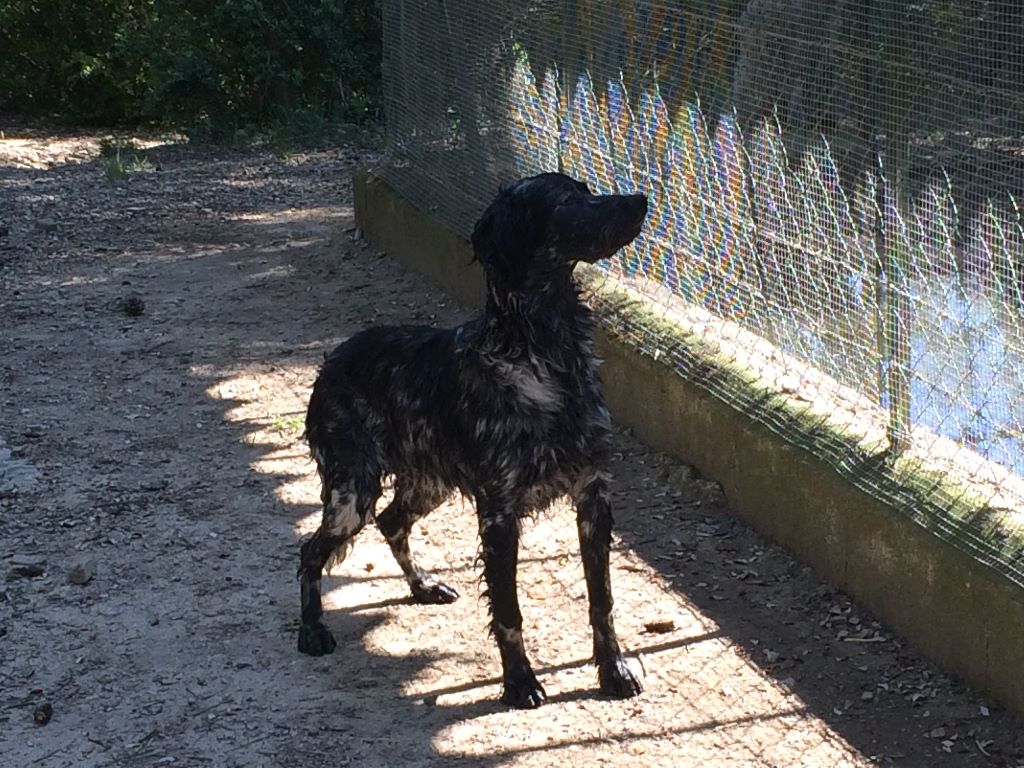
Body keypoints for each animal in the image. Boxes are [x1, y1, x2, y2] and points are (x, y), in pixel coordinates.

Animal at [299, 173, 647, 708]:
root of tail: (330, 362)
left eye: (587, 189)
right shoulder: (499, 513)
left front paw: (614, 670)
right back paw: (312, 630)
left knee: (391, 521)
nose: (641, 201)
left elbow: (602, 600)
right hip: (351, 493)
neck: (546, 355)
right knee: (311, 552)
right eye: (566, 201)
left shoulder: (593, 496)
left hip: (428, 483)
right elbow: (508, 611)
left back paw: (422, 586)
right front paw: (520, 680)